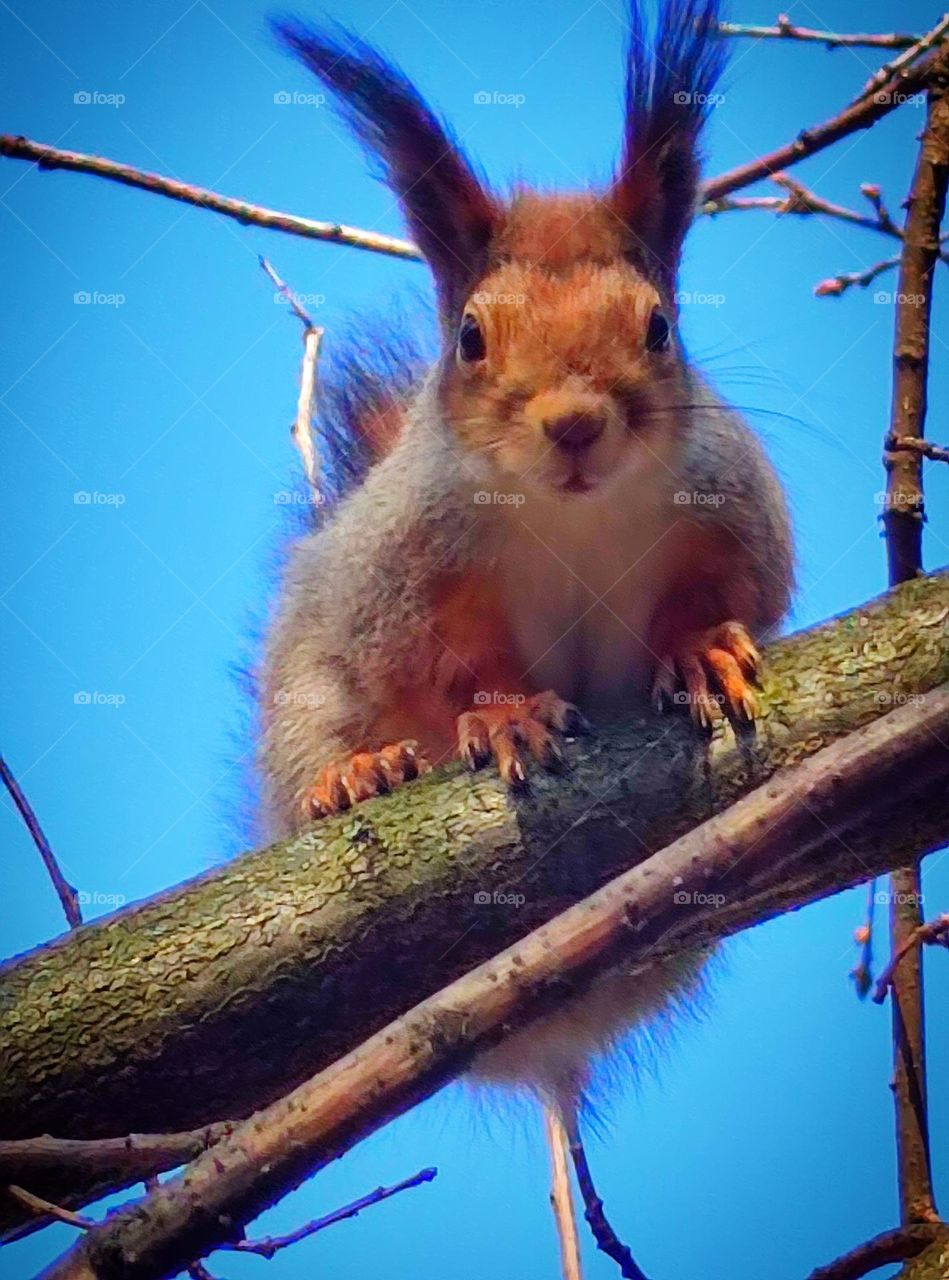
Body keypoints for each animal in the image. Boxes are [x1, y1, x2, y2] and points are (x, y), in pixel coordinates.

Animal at [259, 0, 793, 1230]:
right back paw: (357, 774)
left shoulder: (734, 511)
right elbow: (449, 662)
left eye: (658, 326)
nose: (575, 424)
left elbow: (733, 596)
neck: (570, 519)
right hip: (305, 681)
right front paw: (502, 714)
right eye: (469, 336)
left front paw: (702, 652)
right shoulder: (406, 574)